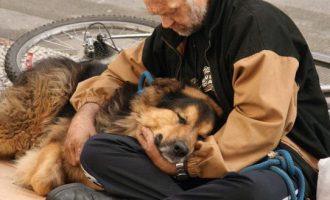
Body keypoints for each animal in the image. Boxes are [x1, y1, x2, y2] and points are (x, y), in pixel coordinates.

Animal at [0, 57, 223, 196]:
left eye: (202, 137)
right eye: (181, 118)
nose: (182, 150)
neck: (129, 123)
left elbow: (45, 181)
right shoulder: (65, 140)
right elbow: (41, 180)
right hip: (24, 123)